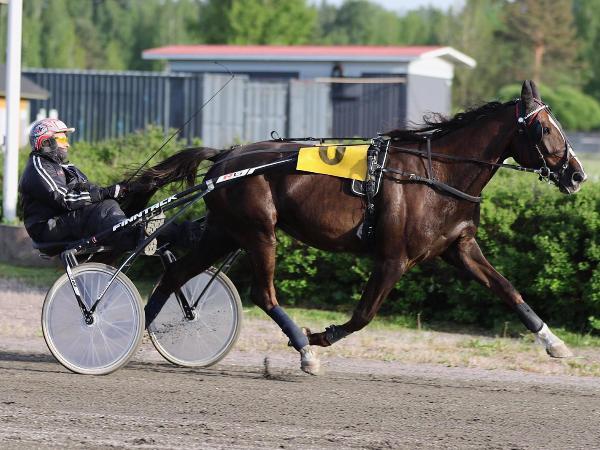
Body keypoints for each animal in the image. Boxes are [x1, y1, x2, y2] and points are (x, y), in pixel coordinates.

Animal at [124, 80, 587, 374]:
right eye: (546, 128)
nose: (578, 174)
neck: (436, 175)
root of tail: (225, 157)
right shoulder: (394, 258)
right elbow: (364, 314)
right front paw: (318, 336)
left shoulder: (459, 248)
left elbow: (508, 289)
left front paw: (554, 343)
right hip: (258, 231)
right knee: (262, 293)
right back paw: (305, 351)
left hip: (224, 231)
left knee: (175, 273)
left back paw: (139, 328)